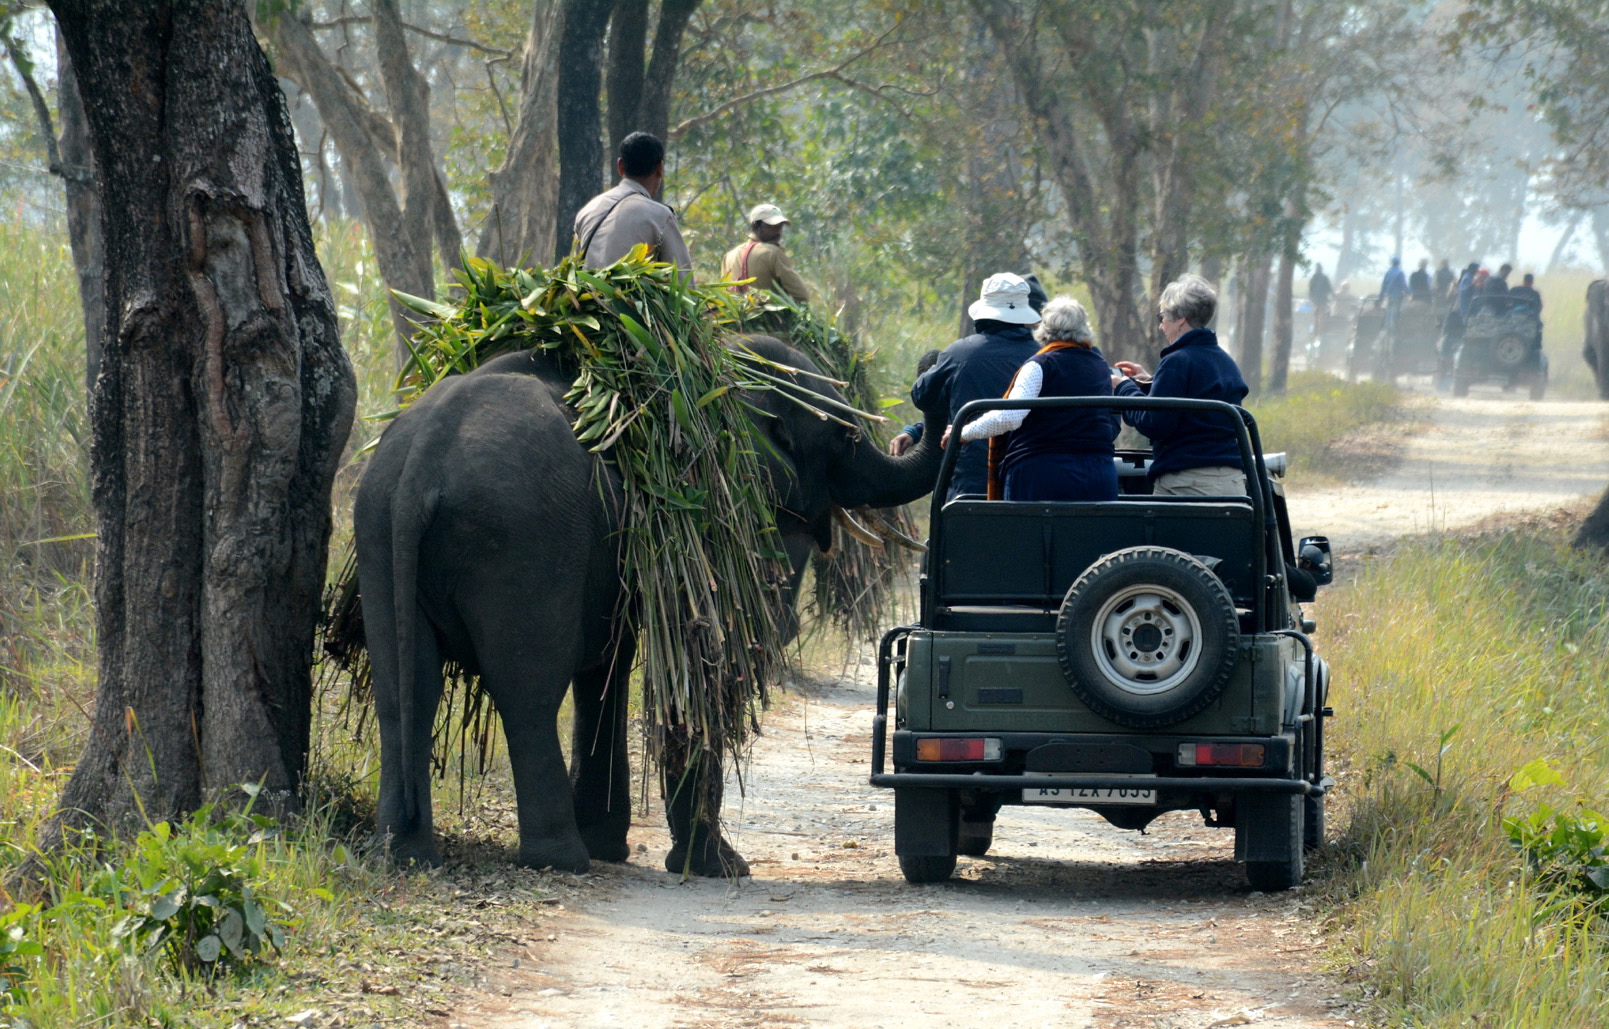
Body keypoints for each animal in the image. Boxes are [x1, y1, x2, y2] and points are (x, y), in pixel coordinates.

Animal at [355, 336, 939, 874]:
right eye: (848, 435)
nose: (933, 366)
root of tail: (422, 464)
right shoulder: (710, 515)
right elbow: (701, 665)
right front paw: (719, 867)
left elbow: (609, 666)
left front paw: (619, 847)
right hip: (519, 538)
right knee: (529, 689)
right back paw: (561, 861)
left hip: (379, 529)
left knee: (405, 690)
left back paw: (405, 856)